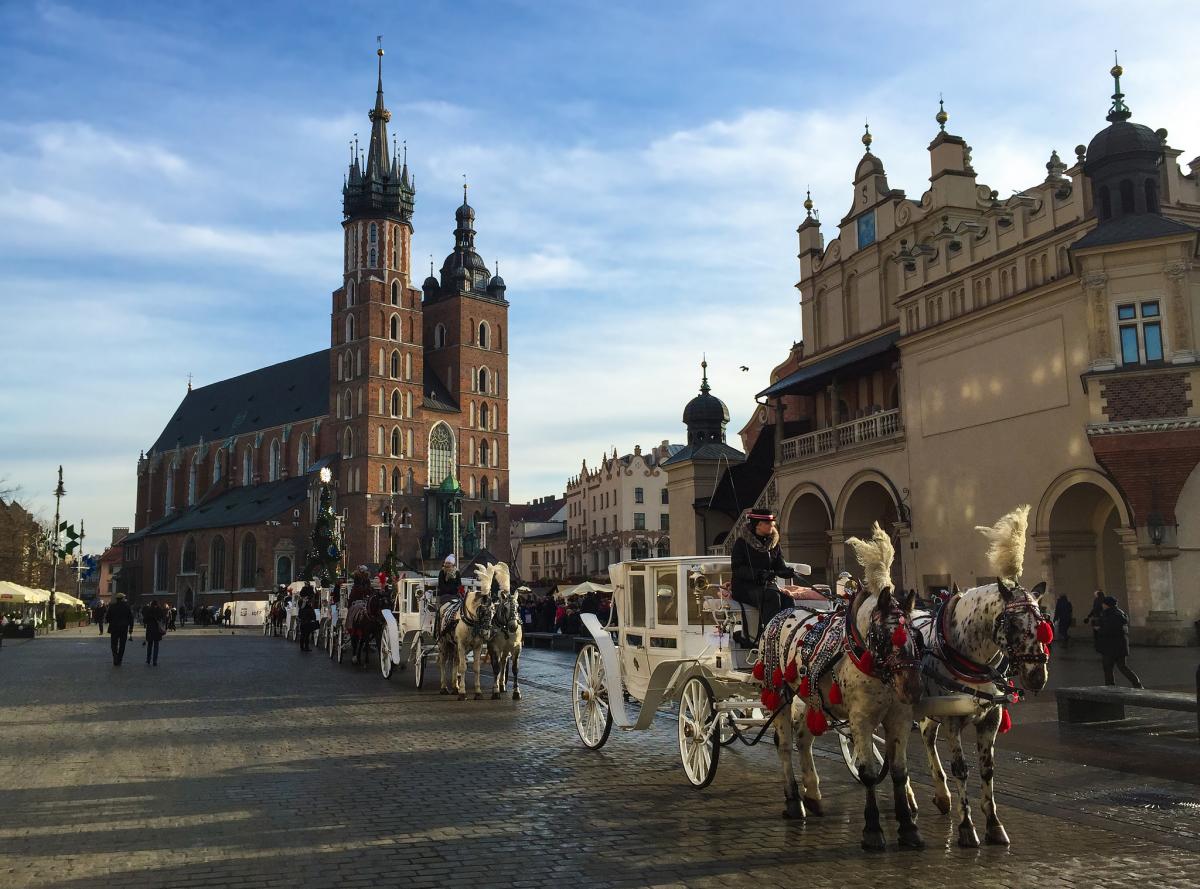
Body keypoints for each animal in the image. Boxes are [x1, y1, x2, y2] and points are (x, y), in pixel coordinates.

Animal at [436, 568, 496, 700]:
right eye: (482, 611)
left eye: (493, 611)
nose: (486, 632)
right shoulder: (462, 644)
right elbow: (463, 667)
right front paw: (463, 693)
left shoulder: (477, 646)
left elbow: (476, 668)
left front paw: (478, 692)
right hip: (443, 643)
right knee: (443, 663)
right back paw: (443, 687)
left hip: (454, 645)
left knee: (455, 661)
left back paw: (455, 687)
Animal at [482, 561, 525, 700]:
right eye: (505, 608)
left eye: (518, 606)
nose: (513, 626)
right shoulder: (494, 647)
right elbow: (495, 668)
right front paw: (495, 691)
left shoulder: (516, 648)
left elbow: (514, 669)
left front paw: (516, 691)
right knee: (498, 664)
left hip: (506, 649)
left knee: (503, 662)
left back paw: (502, 684)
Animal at [763, 523, 921, 849]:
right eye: (885, 636)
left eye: (915, 634)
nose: (912, 689)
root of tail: (781, 614)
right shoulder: (860, 719)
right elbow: (869, 773)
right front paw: (872, 830)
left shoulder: (899, 717)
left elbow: (899, 771)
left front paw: (909, 827)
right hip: (780, 694)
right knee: (784, 744)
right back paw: (793, 801)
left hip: (813, 699)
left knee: (803, 739)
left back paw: (813, 794)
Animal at [912, 506, 1046, 844]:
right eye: (1012, 623)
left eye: (1044, 622)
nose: (1038, 677)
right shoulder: (952, 721)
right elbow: (961, 769)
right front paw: (967, 828)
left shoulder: (990, 719)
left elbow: (987, 769)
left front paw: (994, 824)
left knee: (925, 736)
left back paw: (941, 795)